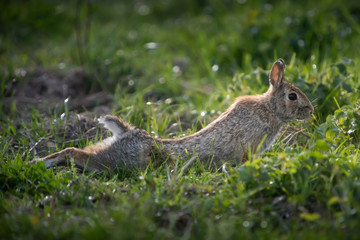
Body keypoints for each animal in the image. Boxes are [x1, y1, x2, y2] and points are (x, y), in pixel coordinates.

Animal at [30, 59, 312, 173]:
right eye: (293, 96)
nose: (310, 111)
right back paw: (38, 163)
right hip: (118, 161)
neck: (270, 109)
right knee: (75, 154)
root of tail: (126, 132)